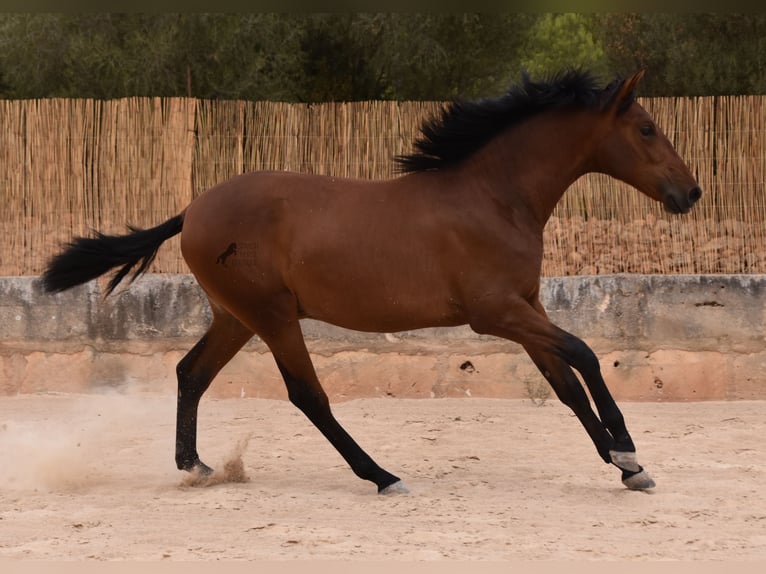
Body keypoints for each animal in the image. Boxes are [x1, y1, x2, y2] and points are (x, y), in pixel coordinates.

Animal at [40, 70, 704, 496]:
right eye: (646, 129)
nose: (691, 192)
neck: (493, 197)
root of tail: (193, 209)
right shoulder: (496, 313)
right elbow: (586, 355)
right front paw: (627, 448)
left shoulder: (526, 310)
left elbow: (565, 384)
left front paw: (627, 468)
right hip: (273, 317)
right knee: (307, 396)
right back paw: (382, 476)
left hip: (236, 318)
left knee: (190, 374)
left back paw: (196, 467)